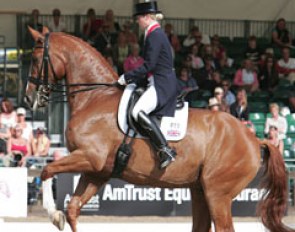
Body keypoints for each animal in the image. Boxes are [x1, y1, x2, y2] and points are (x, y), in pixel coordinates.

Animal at [26, 27, 295, 232]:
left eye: (36, 60)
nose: (29, 99)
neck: (94, 97)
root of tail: (254, 138)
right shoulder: (97, 170)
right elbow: (72, 208)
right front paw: (60, 216)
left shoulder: (90, 157)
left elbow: (47, 170)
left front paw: (52, 212)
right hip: (200, 190)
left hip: (218, 193)